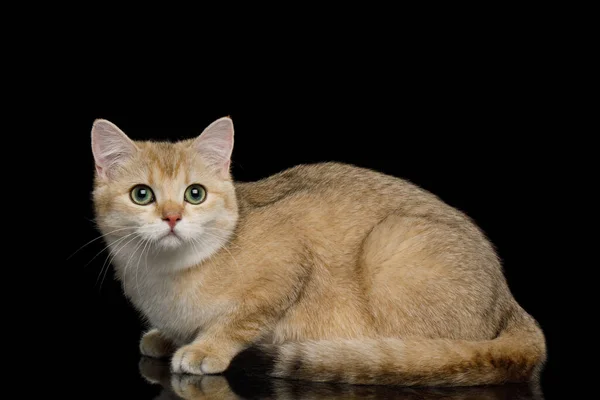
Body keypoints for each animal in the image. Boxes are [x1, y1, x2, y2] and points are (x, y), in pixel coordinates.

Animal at [91, 117, 548, 386]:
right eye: (142, 195)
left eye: (195, 193)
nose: (171, 217)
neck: (166, 278)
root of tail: (508, 300)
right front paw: (168, 336)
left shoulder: (290, 256)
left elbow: (242, 319)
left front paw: (206, 348)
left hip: (390, 247)